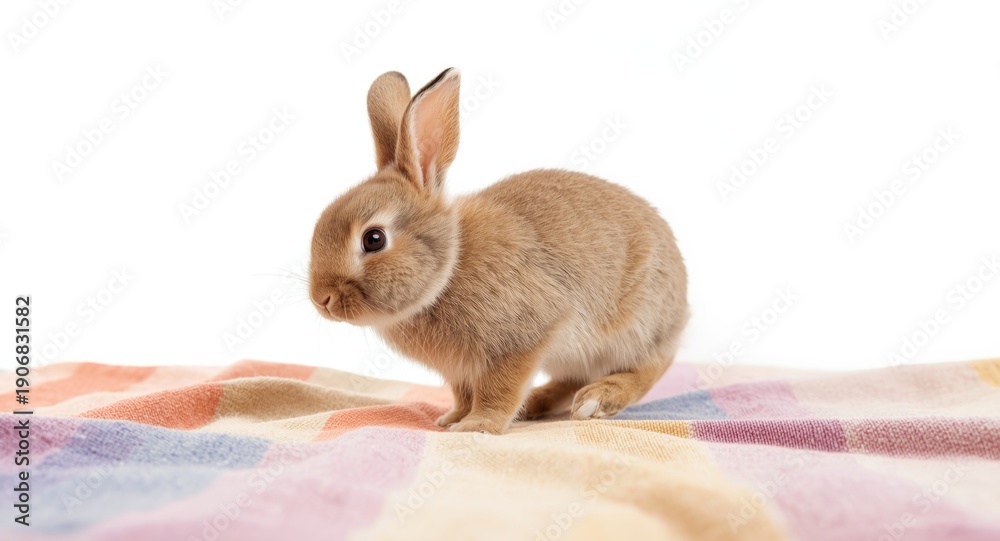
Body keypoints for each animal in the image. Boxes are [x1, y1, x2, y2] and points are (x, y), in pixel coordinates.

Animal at [309, 68, 688, 434]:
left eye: (373, 239)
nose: (321, 299)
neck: (448, 270)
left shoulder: (523, 338)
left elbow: (499, 388)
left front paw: (478, 425)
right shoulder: (461, 372)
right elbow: (464, 394)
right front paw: (451, 418)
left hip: (636, 327)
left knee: (649, 367)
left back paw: (597, 399)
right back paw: (535, 404)